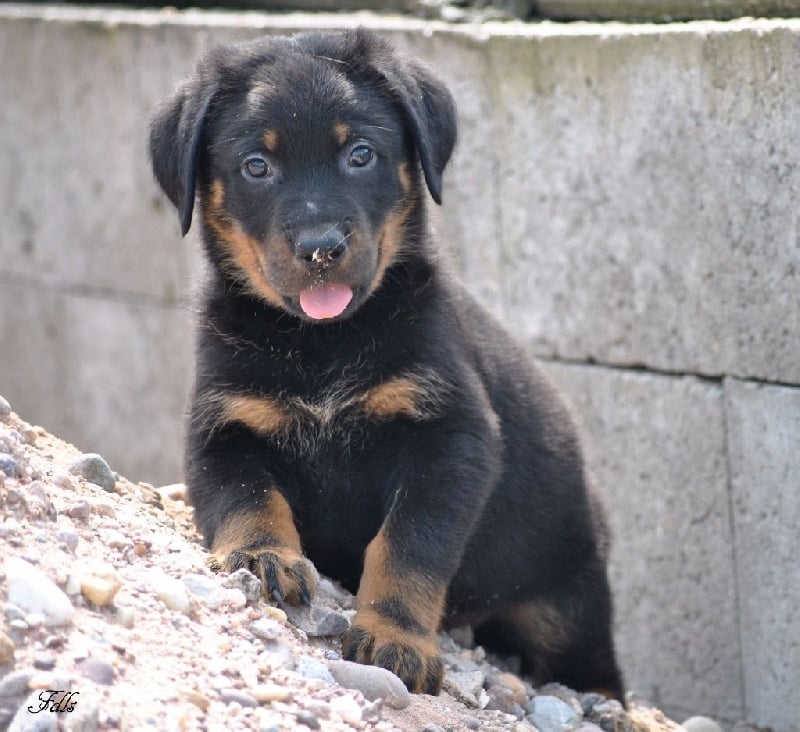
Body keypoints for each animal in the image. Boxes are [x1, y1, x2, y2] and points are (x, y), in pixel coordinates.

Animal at [149, 28, 624, 700]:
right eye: (256, 166)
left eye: (361, 154)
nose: (321, 248)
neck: (323, 344)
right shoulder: (224, 427)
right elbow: (246, 498)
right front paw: (265, 557)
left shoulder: (450, 437)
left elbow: (408, 546)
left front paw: (395, 637)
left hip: (566, 607)